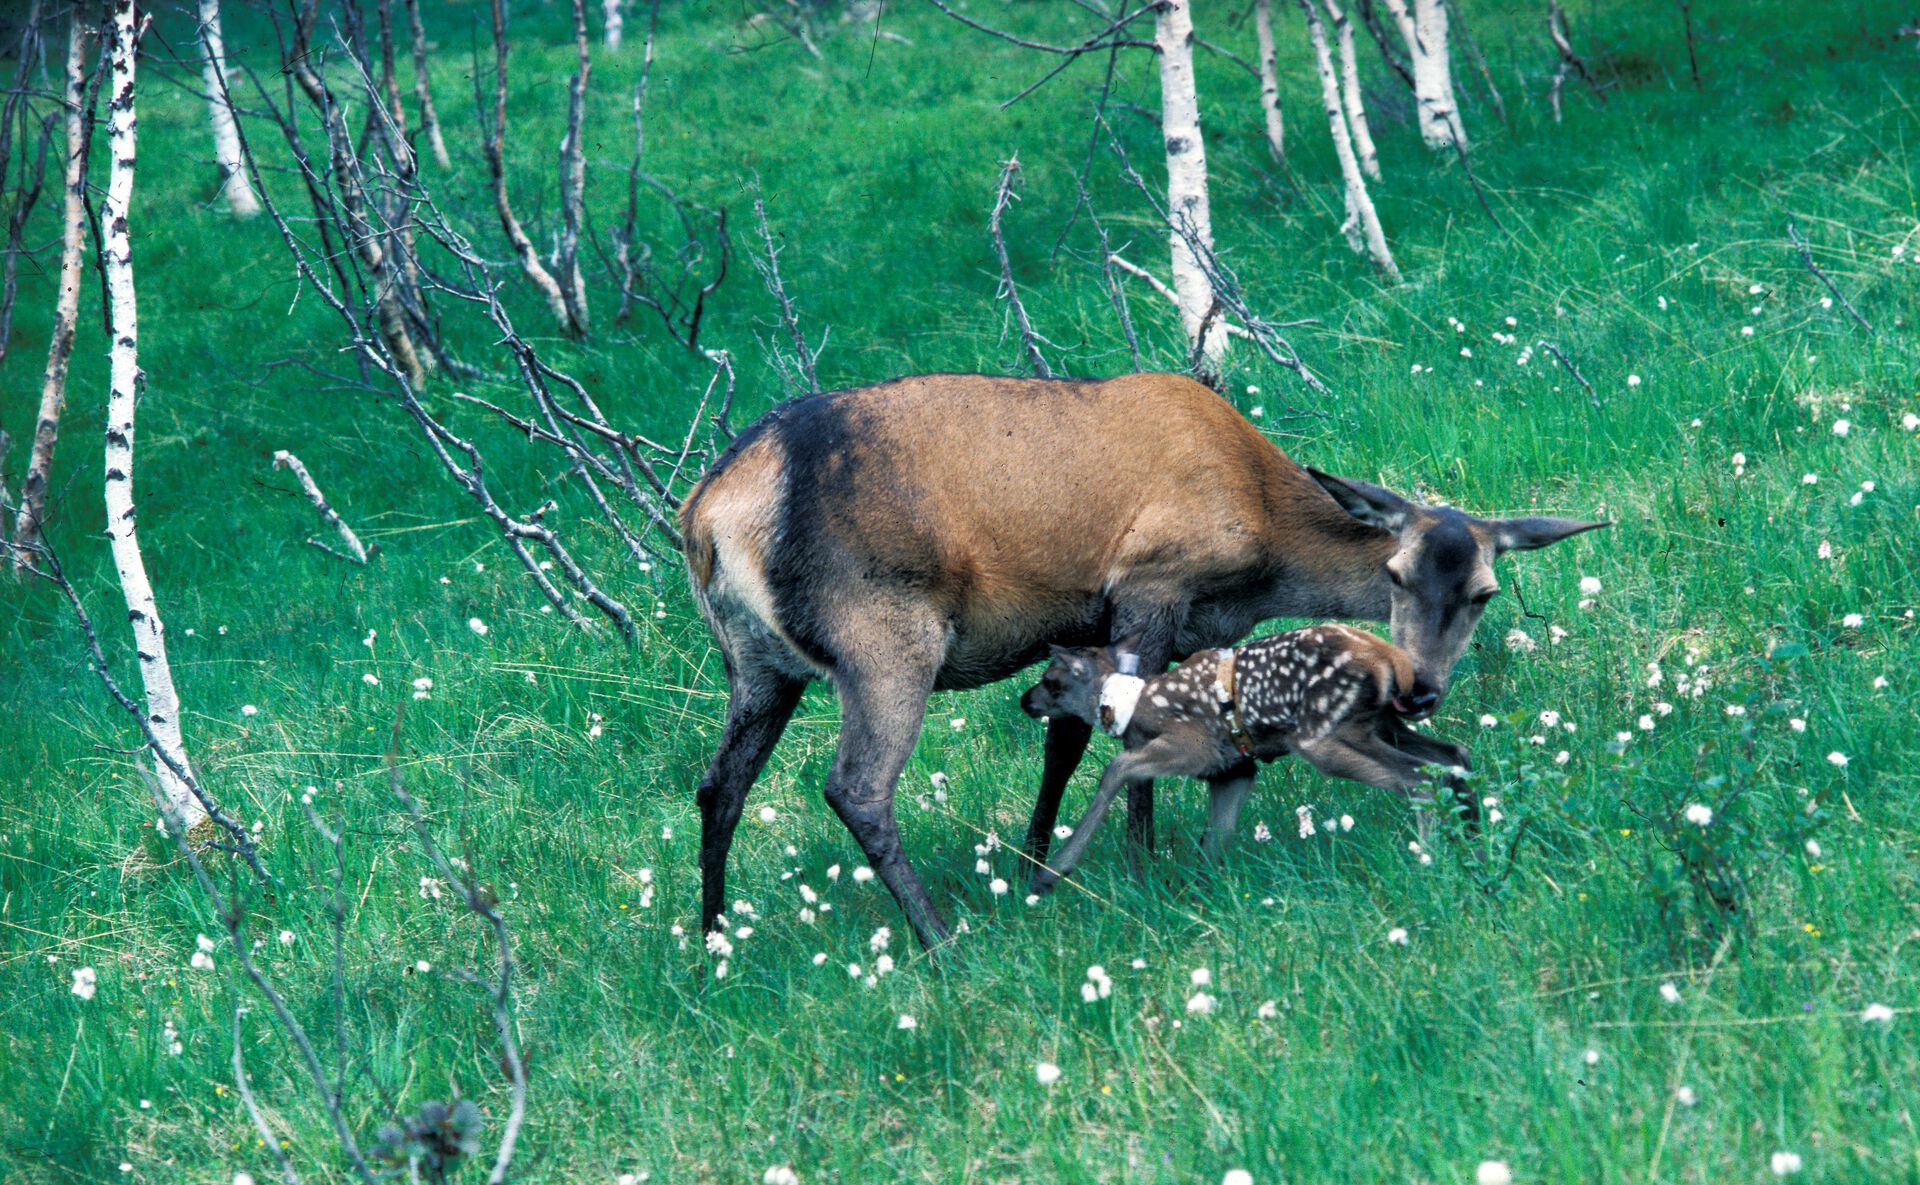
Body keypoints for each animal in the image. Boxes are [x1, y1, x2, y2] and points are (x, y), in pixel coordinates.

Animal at [1018, 625, 1472, 897]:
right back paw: (1473, 850)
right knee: (1454, 757)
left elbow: (1117, 768)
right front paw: (1198, 895)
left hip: (1324, 737)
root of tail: (1389, 660)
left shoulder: (1196, 745)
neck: (1138, 707)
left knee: (1421, 780)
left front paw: (1050, 873)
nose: (1025, 701)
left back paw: (1428, 863)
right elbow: (1215, 839)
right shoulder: (1234, 770)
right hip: (1381, 724)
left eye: (1051, 681)